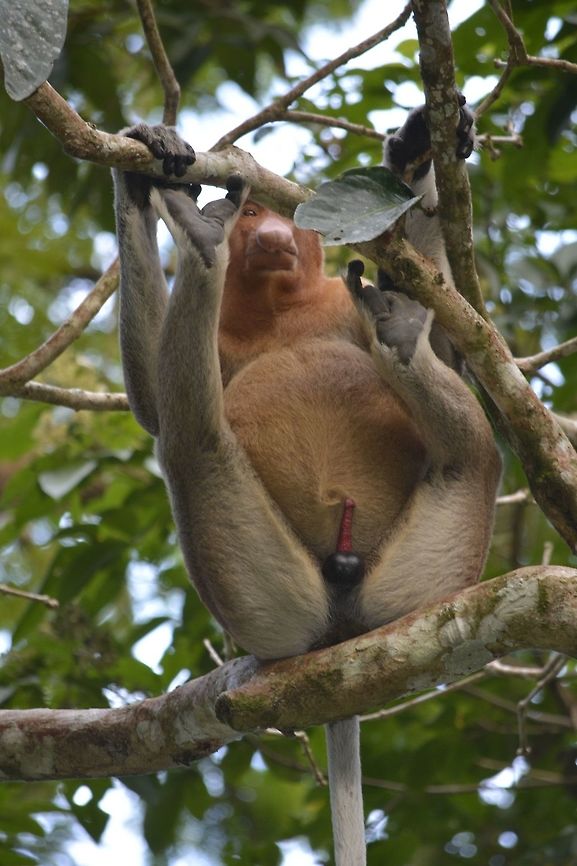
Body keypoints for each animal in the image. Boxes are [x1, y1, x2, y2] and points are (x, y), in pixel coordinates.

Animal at [112, 98, 500, 865]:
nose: (263, 233)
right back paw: (202, 243)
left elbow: (453, 346)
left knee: (478, 455)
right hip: (272, 602)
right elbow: (149, 407)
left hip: (434, 577)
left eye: (281, 217)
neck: (279, 310)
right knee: (188, 441)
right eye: (257, 210)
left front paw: (421, 150)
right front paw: (140, 179)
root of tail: (343, 640)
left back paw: (398, 341)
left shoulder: (341, 301)